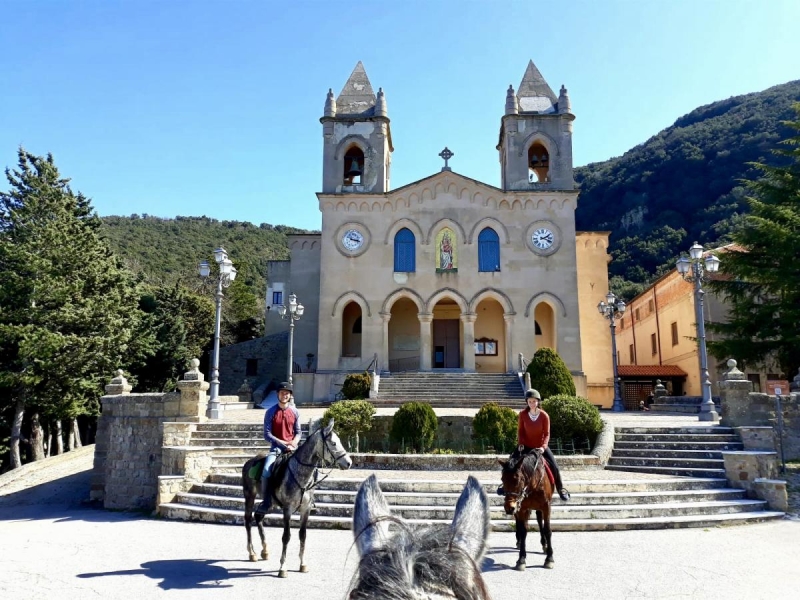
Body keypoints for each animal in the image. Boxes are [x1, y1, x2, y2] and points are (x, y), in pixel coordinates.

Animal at [238, 418, 350, 576]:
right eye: (334, 443)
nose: (349, 462)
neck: (300, 474)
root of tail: (249, 462)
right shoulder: (288, 509)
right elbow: (286, 536)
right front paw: (283, 567)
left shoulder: (305, 509)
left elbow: (302, 535)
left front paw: (302, 564)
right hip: (249, 495)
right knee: (248, 520)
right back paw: (252, 553)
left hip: (269, 502)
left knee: (258, 516)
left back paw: (265, 550)